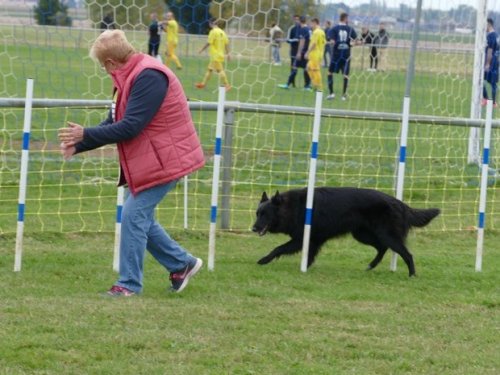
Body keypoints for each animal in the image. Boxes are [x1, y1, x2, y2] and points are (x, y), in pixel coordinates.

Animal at [252, 187, 440, 276]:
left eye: (265, 214)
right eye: (257, 214)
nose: (253, 228)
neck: (294, 208)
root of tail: (400, 204)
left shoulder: (301, 239)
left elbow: (278, 248)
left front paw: (263, 260)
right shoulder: (312, 241)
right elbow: (309, 255)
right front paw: (306, 267)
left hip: (386, 235)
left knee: (407, 254)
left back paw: (412, 275)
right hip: (363, 235)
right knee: (382, 248)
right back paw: (371, 265)